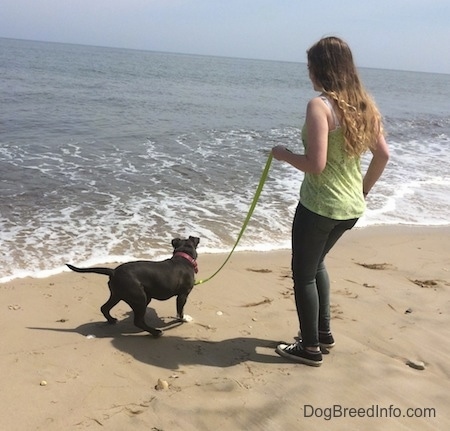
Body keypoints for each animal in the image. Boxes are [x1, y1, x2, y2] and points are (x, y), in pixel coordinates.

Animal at [66, 236, 200, 338]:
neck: (183, 258)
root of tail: (113, 272)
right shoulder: (183, 295)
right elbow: (180, 311)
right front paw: (183, 319)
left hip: (118, 294)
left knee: (104, 308)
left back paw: (111, 320)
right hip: (140, 297)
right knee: (138, 321)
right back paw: (155, 332)